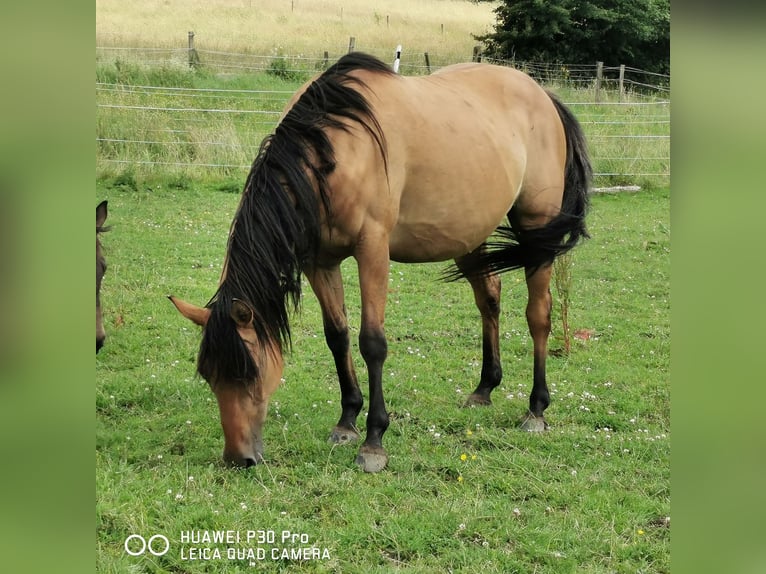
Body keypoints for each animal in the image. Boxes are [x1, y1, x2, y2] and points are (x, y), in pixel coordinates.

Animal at [170, 52, 591, 472]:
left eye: (250, 372)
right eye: (208, 375)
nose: (238, 458)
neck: (335, 150)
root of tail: (543, 95)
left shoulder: (372, 249)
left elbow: (372, 342)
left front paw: (373, 442)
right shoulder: (319, 260)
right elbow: (337, 336)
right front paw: (346, 421)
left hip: (537, 228)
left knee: (539, 314)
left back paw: (536, 409)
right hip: (468, 233)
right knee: (489, 297)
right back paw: (484, 388)